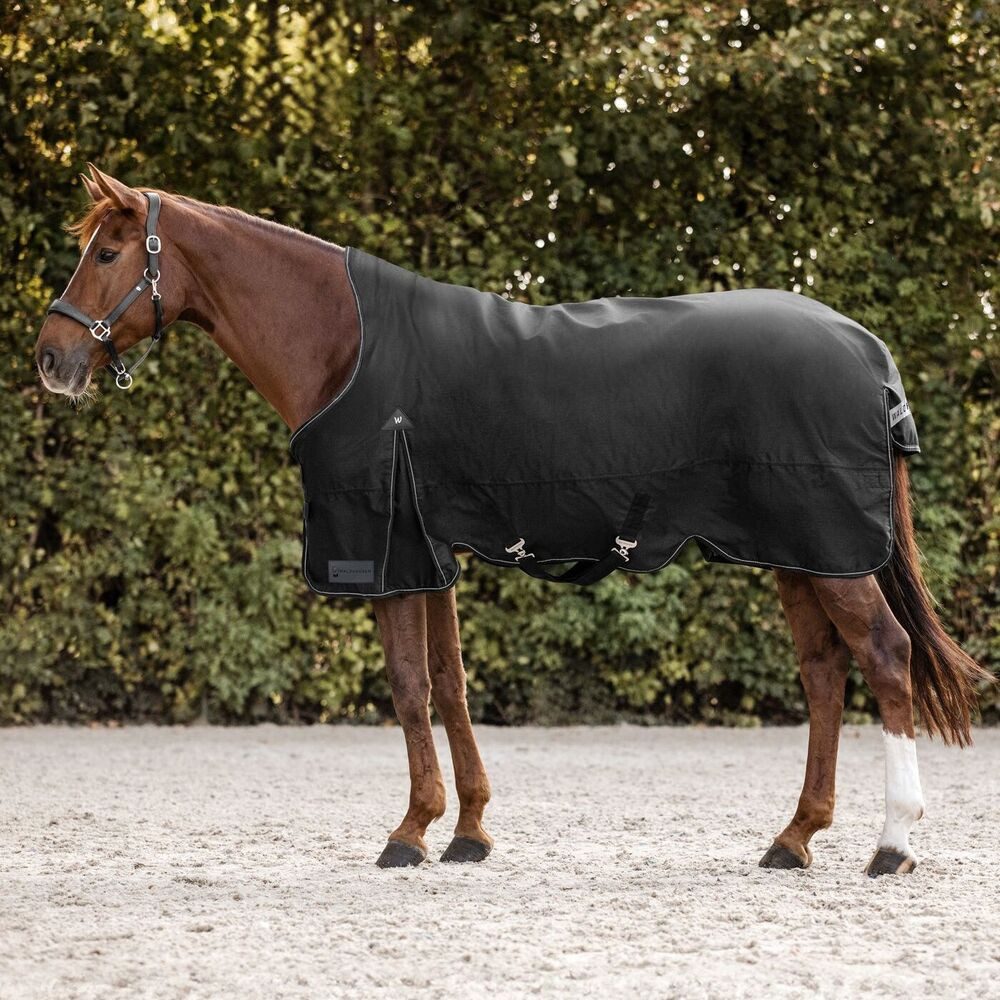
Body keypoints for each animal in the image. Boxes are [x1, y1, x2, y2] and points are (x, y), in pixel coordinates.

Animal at [34, 166, 989, 876]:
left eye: (109, 251)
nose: (51, 359)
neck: (348, 348)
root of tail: (866, 350)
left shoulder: (389, 552)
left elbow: (409, 687)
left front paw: (409, 832)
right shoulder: (433, 554)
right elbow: (450, 684)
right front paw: (467, 831)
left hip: (833, 554)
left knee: (886, 658)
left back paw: (891, 844)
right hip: (799, 554)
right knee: (825, 674)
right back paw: (793, 839)